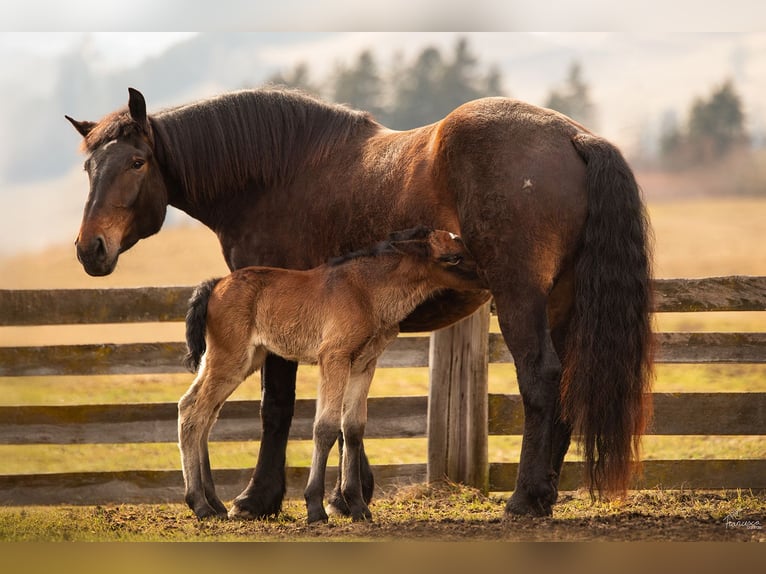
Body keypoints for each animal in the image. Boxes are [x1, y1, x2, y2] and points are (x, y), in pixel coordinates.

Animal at [180, 226, 487, 523]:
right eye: (453, 258)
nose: (486, 279)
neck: (366, 292)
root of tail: (216, 284)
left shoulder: (364, 364)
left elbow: (352, 428)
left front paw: (357, 506)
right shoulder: (334, 358)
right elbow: (325, 427)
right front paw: (316, 508)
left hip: (243, 361)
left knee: (199, 411)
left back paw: (215, 504)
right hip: (230, 360)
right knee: (194, 413)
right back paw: (200, 505)